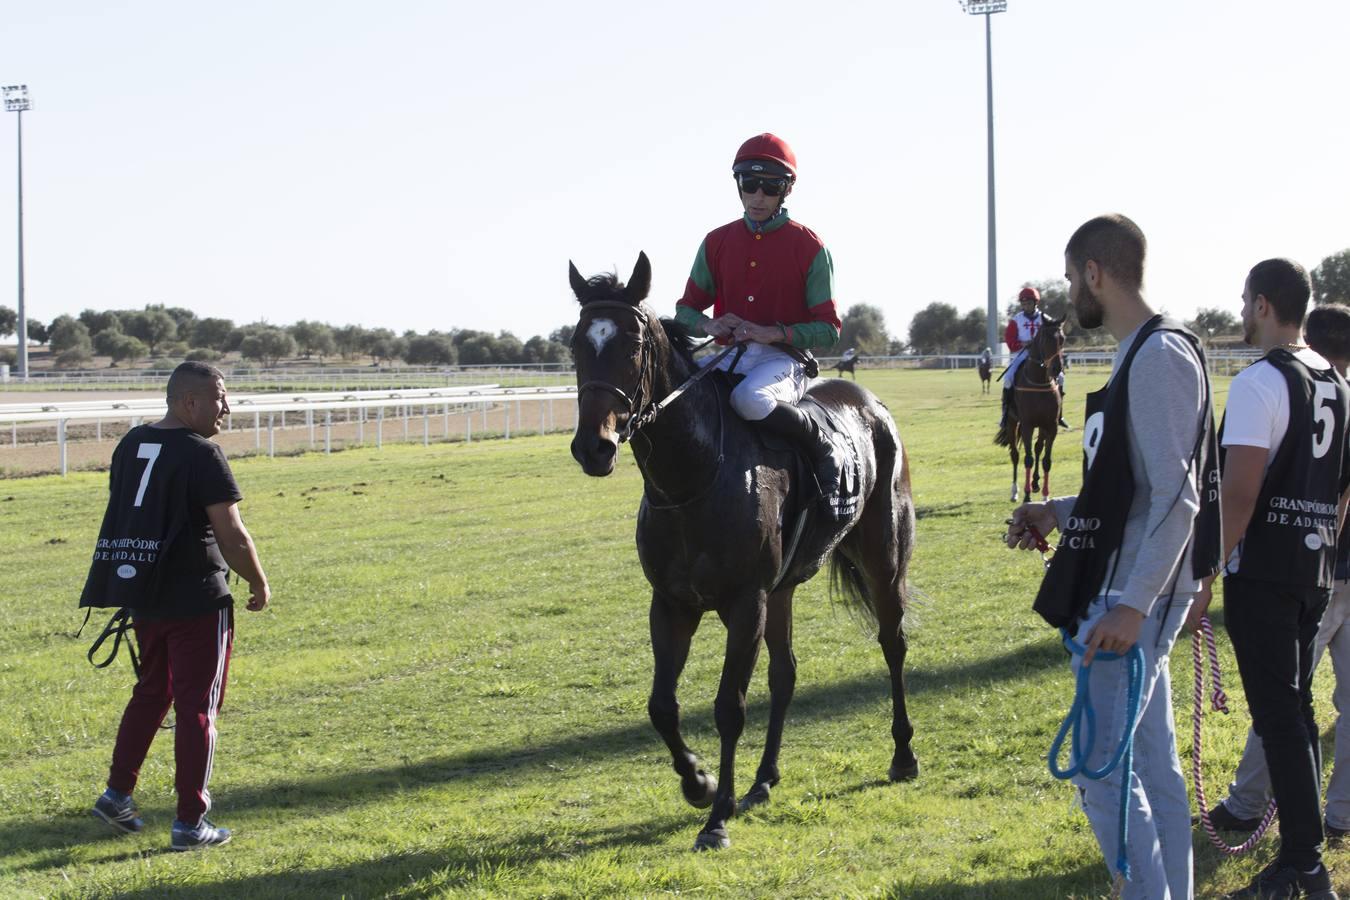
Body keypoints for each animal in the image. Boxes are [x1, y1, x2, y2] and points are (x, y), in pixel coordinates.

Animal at [564, 252, 923, 852]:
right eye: (575, 345)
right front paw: (700, 782)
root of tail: (871, 403)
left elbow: (729, 707)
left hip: (883, 558)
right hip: (782, 592)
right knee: (785, 674)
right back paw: (763, 780)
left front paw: (716, 817)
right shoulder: (672, 604)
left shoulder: (744, 602)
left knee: (892, 644)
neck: (695, 477)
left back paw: (903, 754)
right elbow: (662, 706)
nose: (594, 446)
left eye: (632, 346)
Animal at [993, 315, 1063, 499]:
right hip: (1012, 423)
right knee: (1015, 454)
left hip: (1042, 426)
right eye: (1045, 339)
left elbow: (1046, 460)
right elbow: (1027, 458)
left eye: (1062, 339)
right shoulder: (1027, 425)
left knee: (1038, 449)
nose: (1057, 368)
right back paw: (1014, 491)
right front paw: (1026, 495)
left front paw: (1045, 494)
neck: (1039, 382)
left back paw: (1036, 483)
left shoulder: (1051, 426)